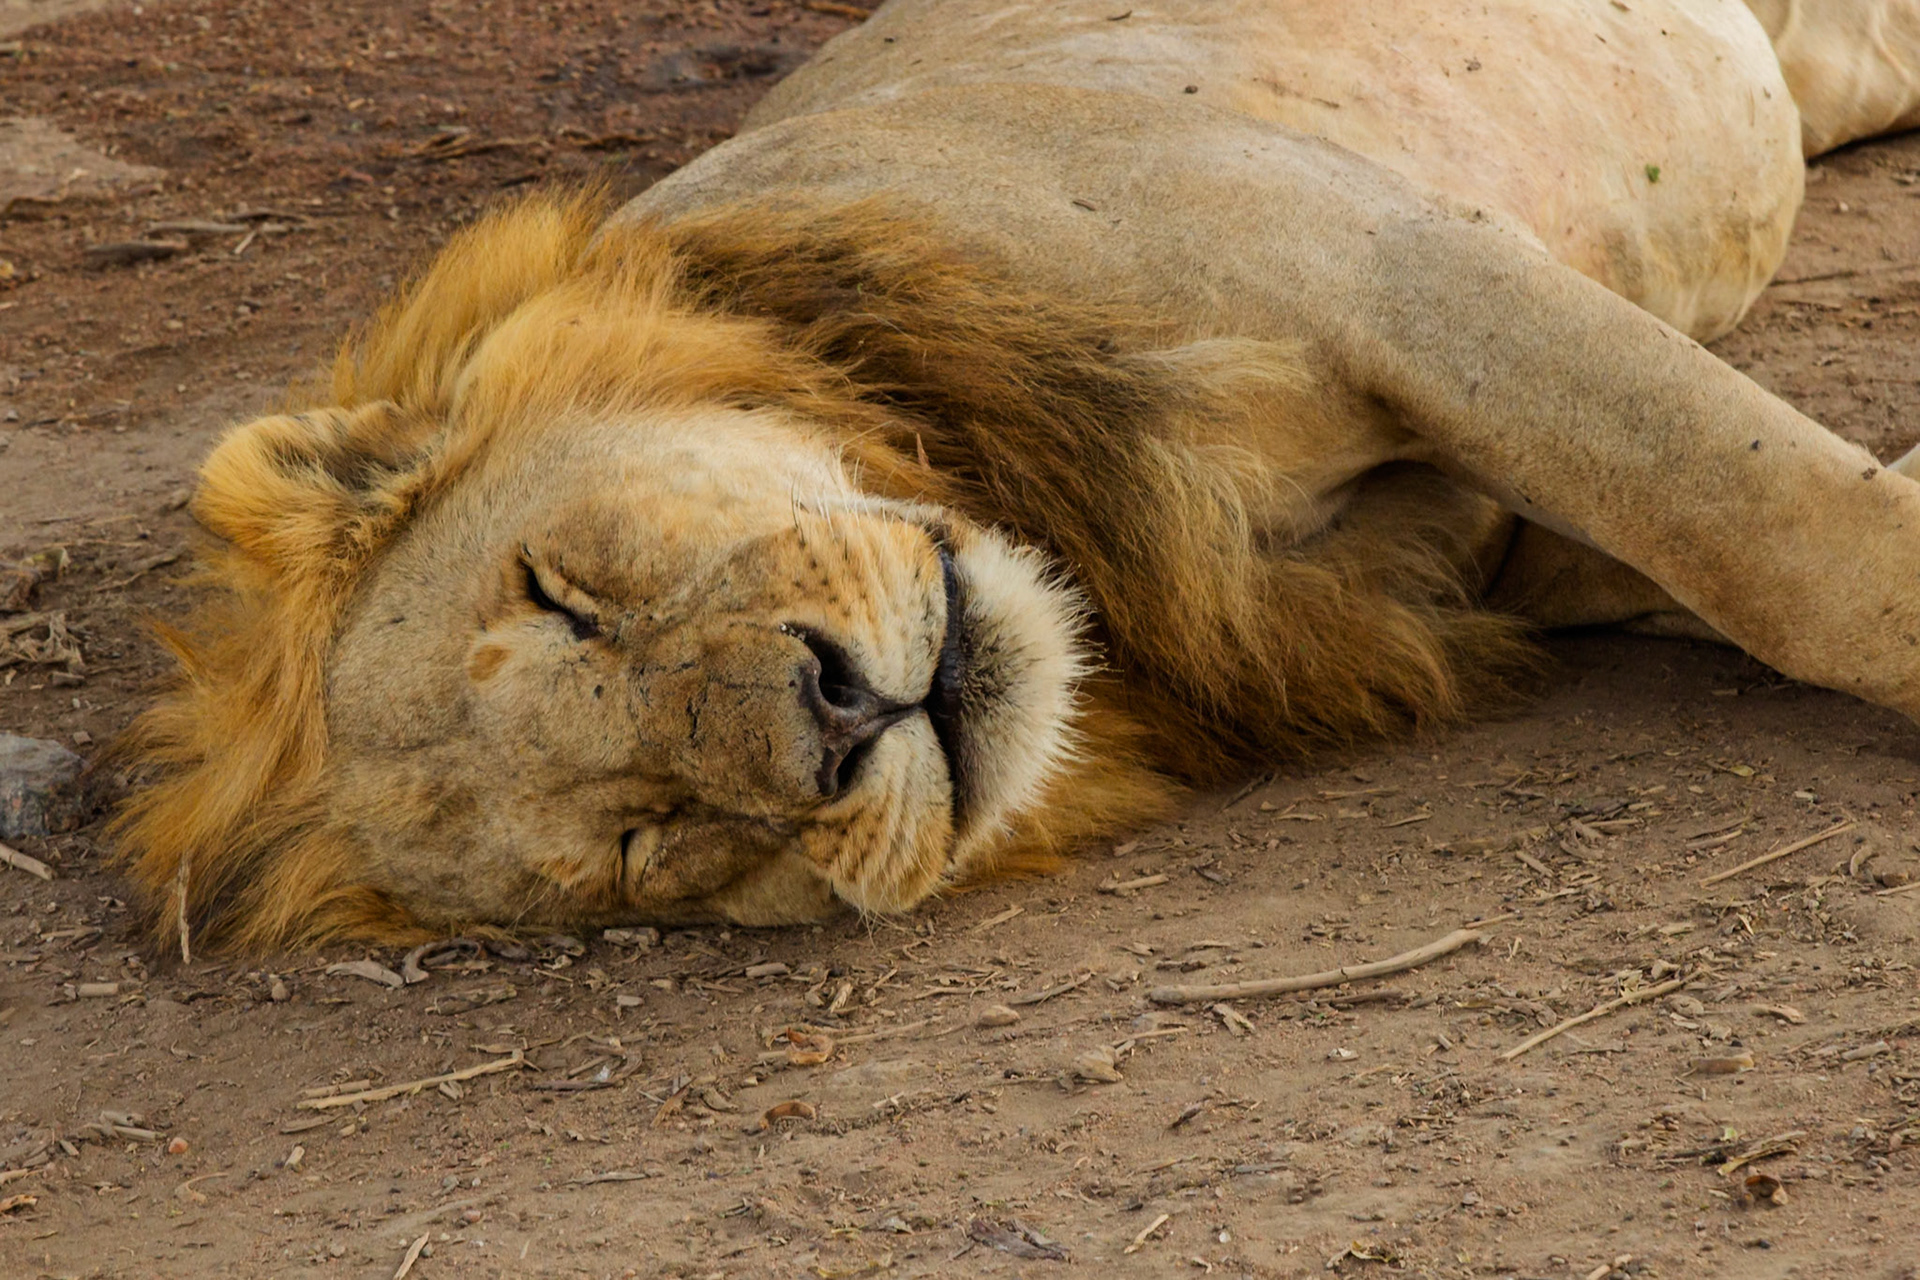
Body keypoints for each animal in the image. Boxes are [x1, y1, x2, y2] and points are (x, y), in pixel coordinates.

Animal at [120, 0, 1920, 952]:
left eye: (565, 595)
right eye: (652, 844)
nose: (839, 718)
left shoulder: (1396, 266)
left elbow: (1777, 536)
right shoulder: (1478, 557)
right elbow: (1734, 559)